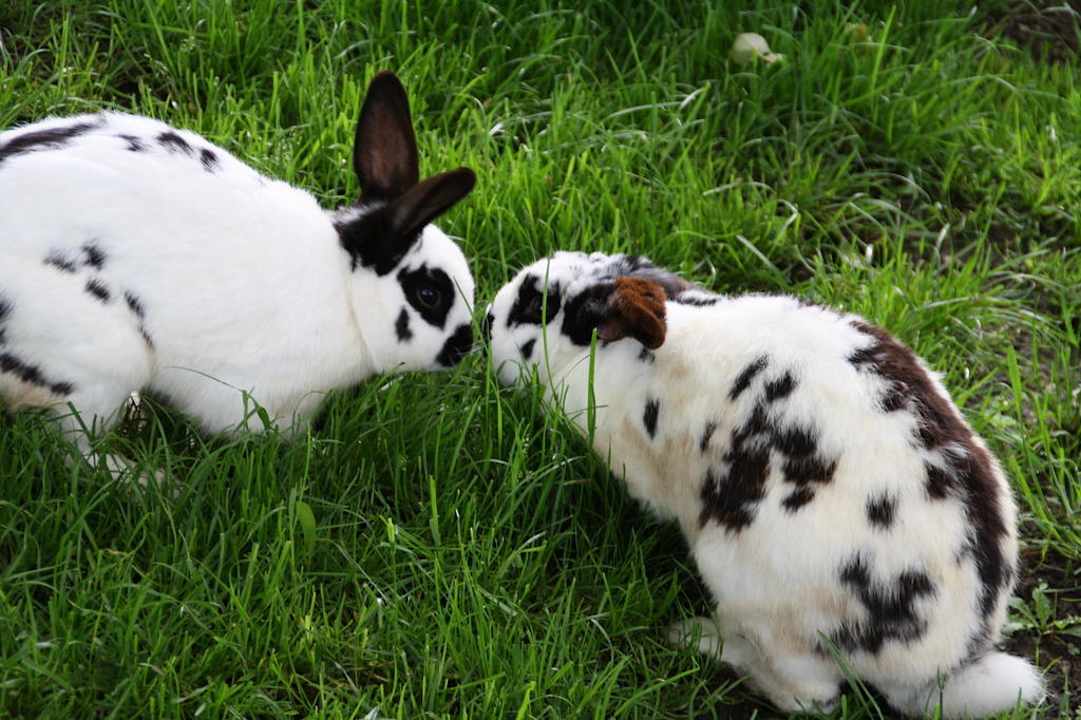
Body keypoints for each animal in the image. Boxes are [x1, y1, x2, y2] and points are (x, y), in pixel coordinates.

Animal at [0, 71, 477, 477]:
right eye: (429, 295)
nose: (465, 346)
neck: (348, 293)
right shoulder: (249, 393)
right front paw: (312, 451)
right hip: (98, 365)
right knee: (71, 448)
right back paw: (150, 482)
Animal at [483, 251, 1044, 717]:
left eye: (536, 304)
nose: (487, 317)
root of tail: (941, 663)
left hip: (751, 589)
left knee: (810, 698)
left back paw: (707, 643)